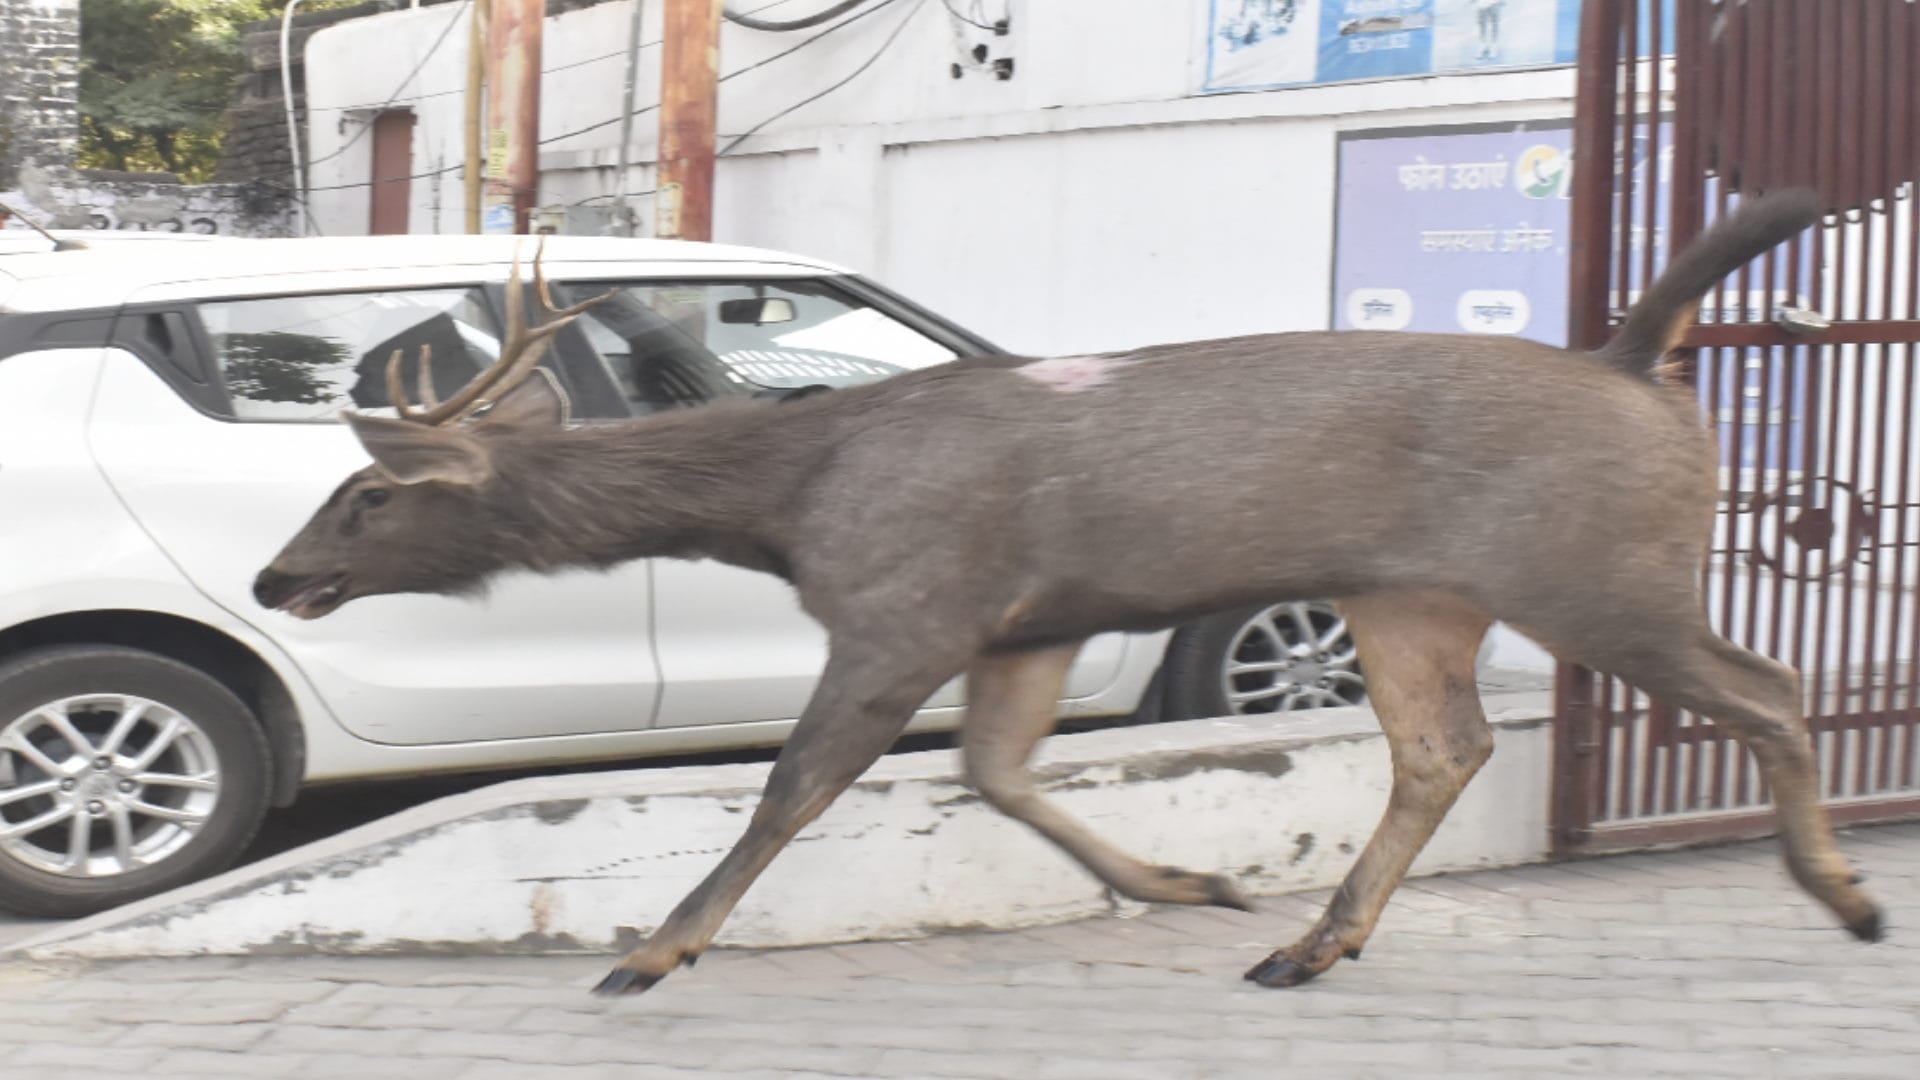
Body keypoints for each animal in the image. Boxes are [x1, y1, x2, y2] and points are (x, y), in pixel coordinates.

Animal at [254, 188, 1884, 997]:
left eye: (370, 493)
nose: (280, 573)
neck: (788, 504)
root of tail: (1644, 372)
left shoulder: (904, 607)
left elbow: (792, 787)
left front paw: (652, 950)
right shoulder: (1027, 621)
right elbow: (996, 776)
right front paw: (1195, 882)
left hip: (1598, 569)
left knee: (1770, 685)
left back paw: (1847, 895)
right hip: (1412, 591)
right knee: (1445, 747)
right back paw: (1307, 942)